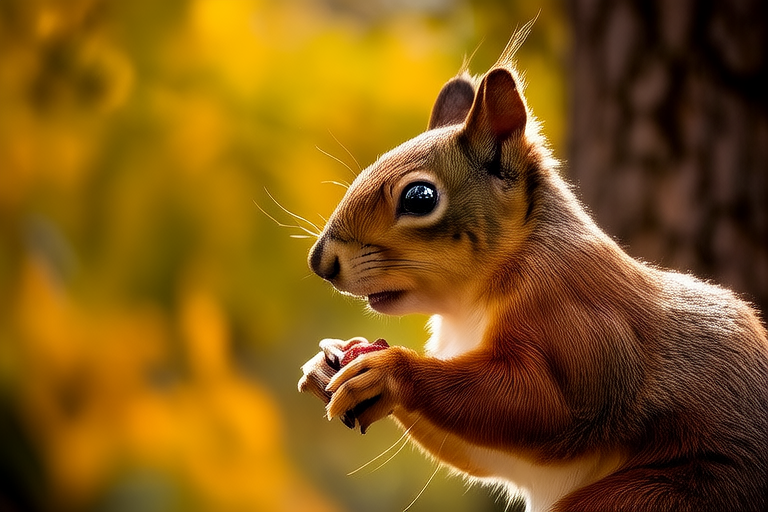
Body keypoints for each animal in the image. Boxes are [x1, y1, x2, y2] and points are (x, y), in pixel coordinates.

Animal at [298, 27, 768, 512]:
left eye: (419, 198)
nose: (319, 262)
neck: (475, 299)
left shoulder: (580, 324)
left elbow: (546, 409)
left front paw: (390, 372)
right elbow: (481, 452)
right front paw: (325, 361)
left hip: (663, 497)